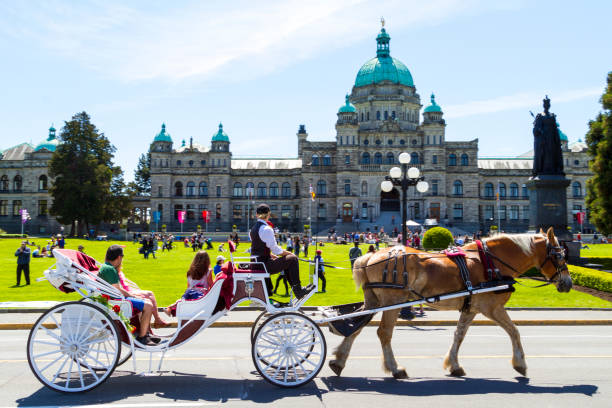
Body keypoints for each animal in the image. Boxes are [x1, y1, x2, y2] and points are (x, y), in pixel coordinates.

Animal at [330, 226, 572, 380]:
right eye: (560, 255)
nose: (568, 283)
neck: (492, 262)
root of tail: (369, 256)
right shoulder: (492, 308)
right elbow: (514, 331)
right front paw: (520, 364)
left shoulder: (471, 307)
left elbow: (459, 334)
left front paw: (454, 366)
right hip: (393, 300)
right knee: (383, 332)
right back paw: (395, 369)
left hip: (374, 300)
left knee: (355, 326)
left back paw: (338, 362)